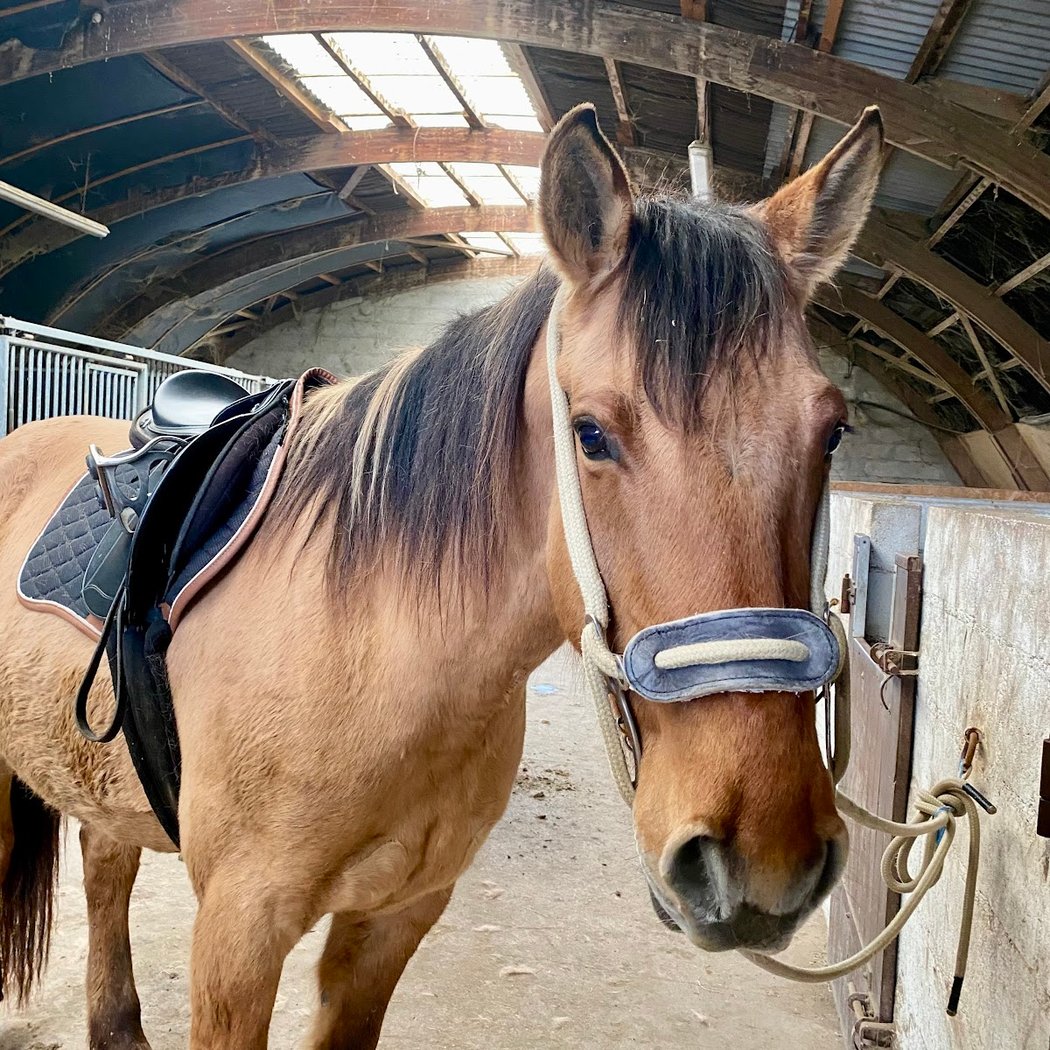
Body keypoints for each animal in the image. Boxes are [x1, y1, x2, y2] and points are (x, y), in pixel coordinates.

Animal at [0, 103, 883, 1048]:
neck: (372, 650)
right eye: (590, 433)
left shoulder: (397, 917)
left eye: (833, 431)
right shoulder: (237, 932)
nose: (761, 858)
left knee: (105, 862)